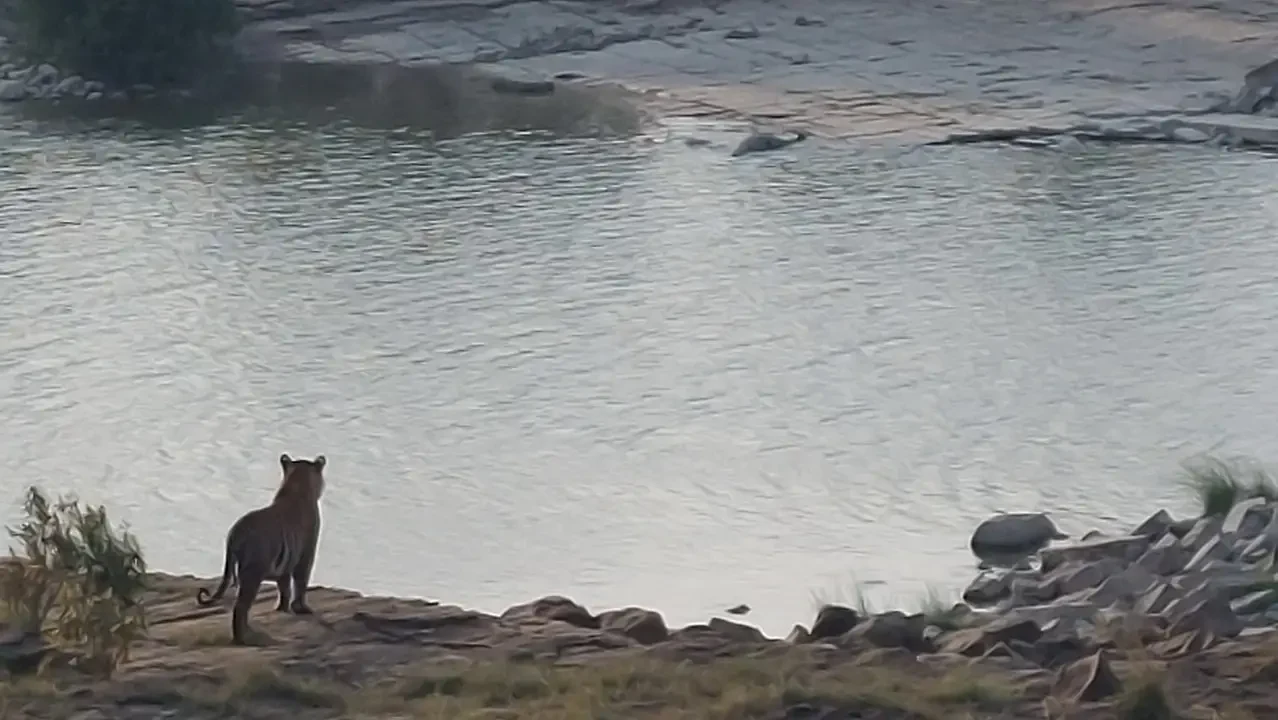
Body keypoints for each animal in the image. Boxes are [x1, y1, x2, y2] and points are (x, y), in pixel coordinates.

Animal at [196, 453, 327, 645]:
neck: (297, 485)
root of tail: (235, 531)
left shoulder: (285, 566)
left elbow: (285, 588)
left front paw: (282, 608)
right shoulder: (306, 554)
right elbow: (301, 582)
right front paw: (301, 608)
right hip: (253, 572)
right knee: (240, 607)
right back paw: (244, 638)